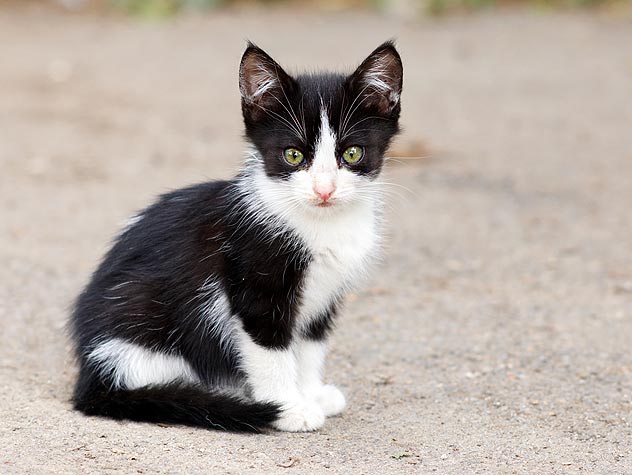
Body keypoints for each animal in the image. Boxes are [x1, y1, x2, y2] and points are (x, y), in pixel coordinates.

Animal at [70, 41, 404, 434]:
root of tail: (90, 377)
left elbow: (310, 345)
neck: (321, 224)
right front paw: (289, 407)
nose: (324, 190)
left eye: (352, 153)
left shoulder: (325, 295)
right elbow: (269, 349)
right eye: (293, 155)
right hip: (141, 313)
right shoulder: (255, 281)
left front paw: (311, 392)